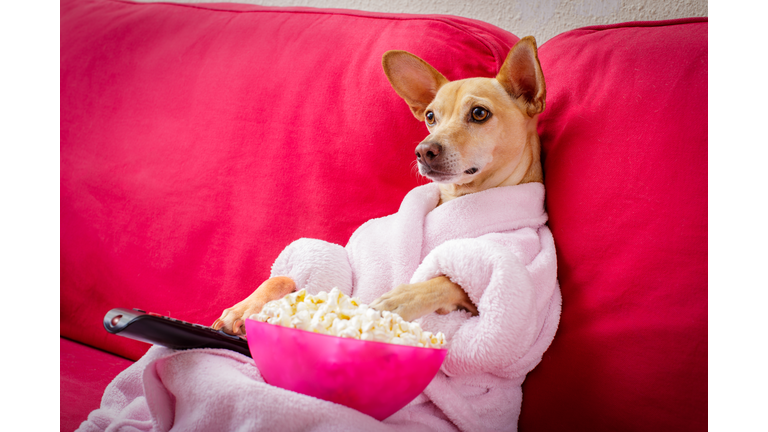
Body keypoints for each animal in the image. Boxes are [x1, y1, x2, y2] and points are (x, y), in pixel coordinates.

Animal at [212, 35, 544, 336]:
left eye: (479, 113)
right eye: (430, 116)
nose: (423, 150)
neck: (456, 199)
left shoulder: (511, 278)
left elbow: (448, 279)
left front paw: (402, 298)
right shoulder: (338, 272)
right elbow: (285, 278)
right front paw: (245, 307)